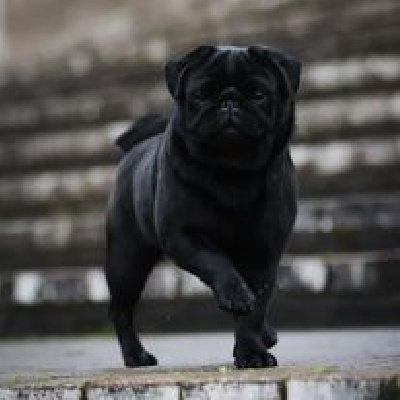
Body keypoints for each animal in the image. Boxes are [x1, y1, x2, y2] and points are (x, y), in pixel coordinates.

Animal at [105, 44, 300, 368]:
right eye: (202, 94)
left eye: (258, 94)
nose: (229, 102)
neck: (232, 172)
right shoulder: (183, 236)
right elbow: (217, 263)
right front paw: (236, 298)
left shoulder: (263, 253)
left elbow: (254, 309)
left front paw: (251, 352)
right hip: (126, 260)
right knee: (121, 310)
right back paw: (136, 355)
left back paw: (265, 333)